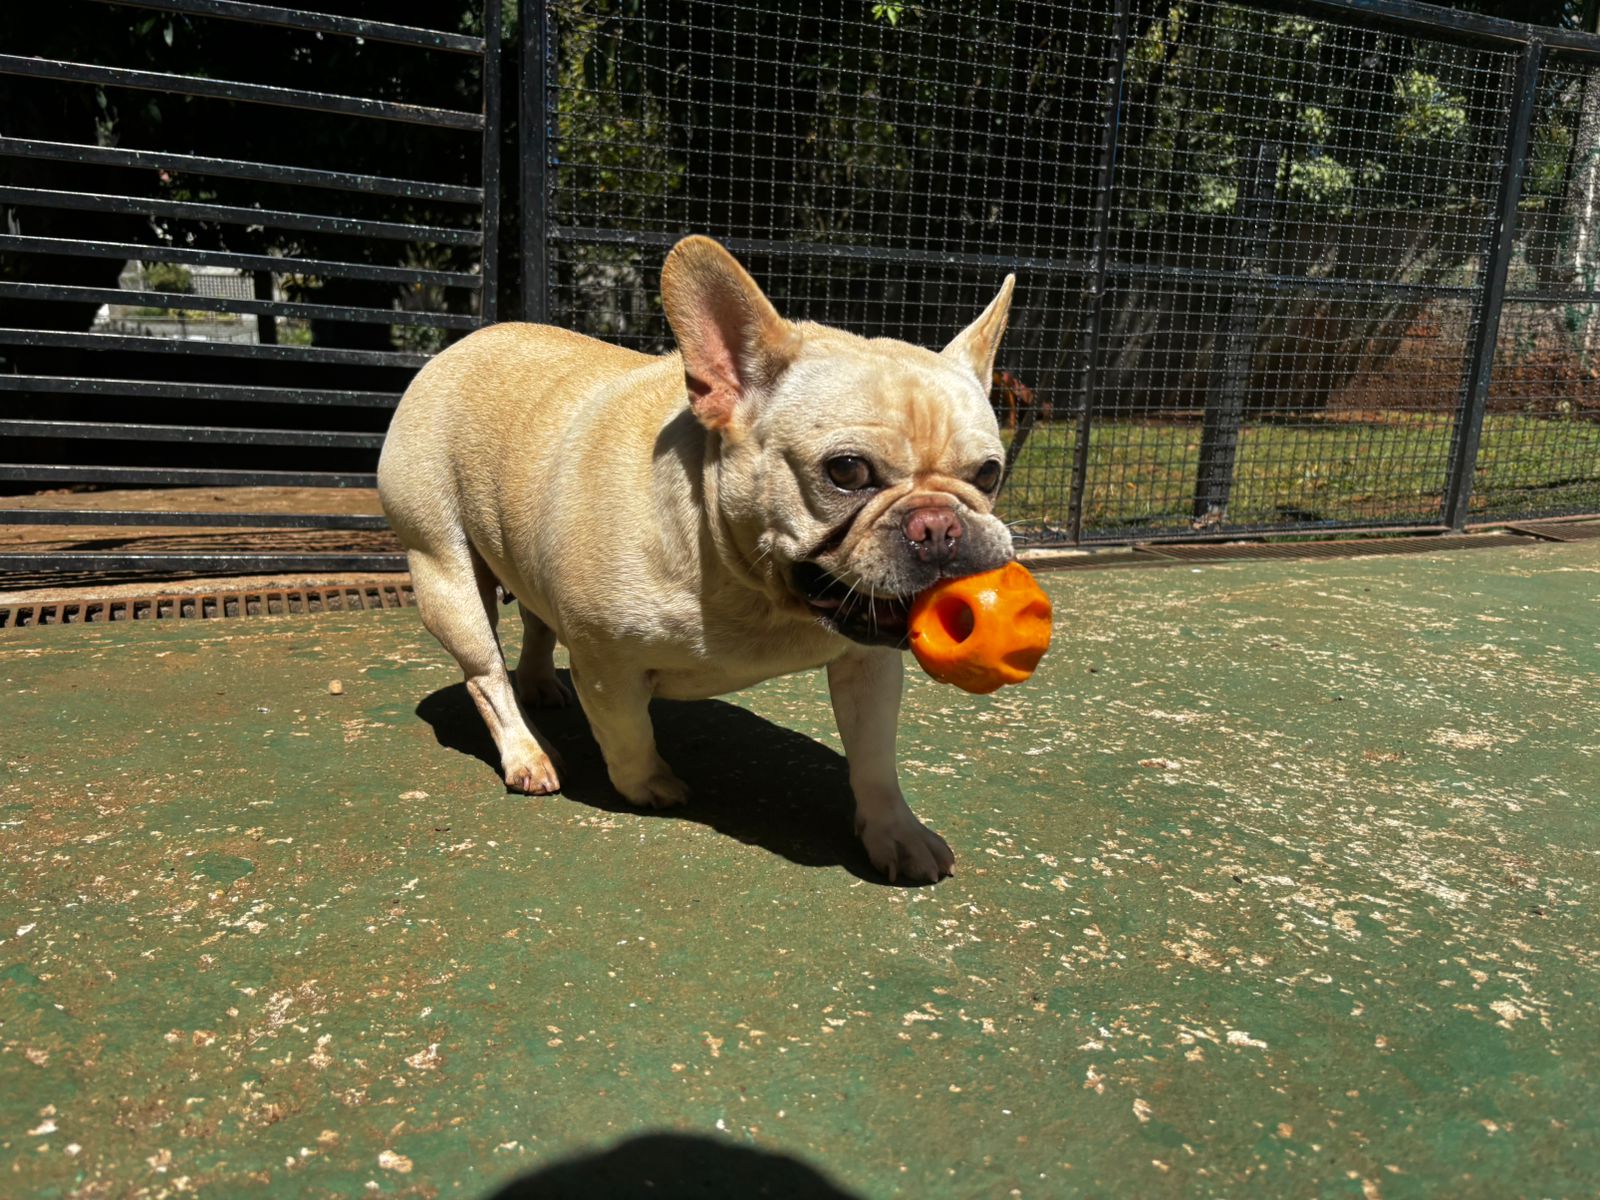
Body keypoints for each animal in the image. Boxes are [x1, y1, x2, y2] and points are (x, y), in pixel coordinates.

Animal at [378, 237, 1017, 883]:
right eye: (847, 471)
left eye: (989, 473)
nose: (938, 527)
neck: (756, 591)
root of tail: (461, 346)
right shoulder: (607, 665)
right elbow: (627, 734)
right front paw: (649, 785)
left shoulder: (868, 663)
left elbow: (873, 757)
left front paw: (896, 832)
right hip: (443, 571)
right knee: (485, 674)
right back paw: (527, 753)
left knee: (535, 623)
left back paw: (537, 685)